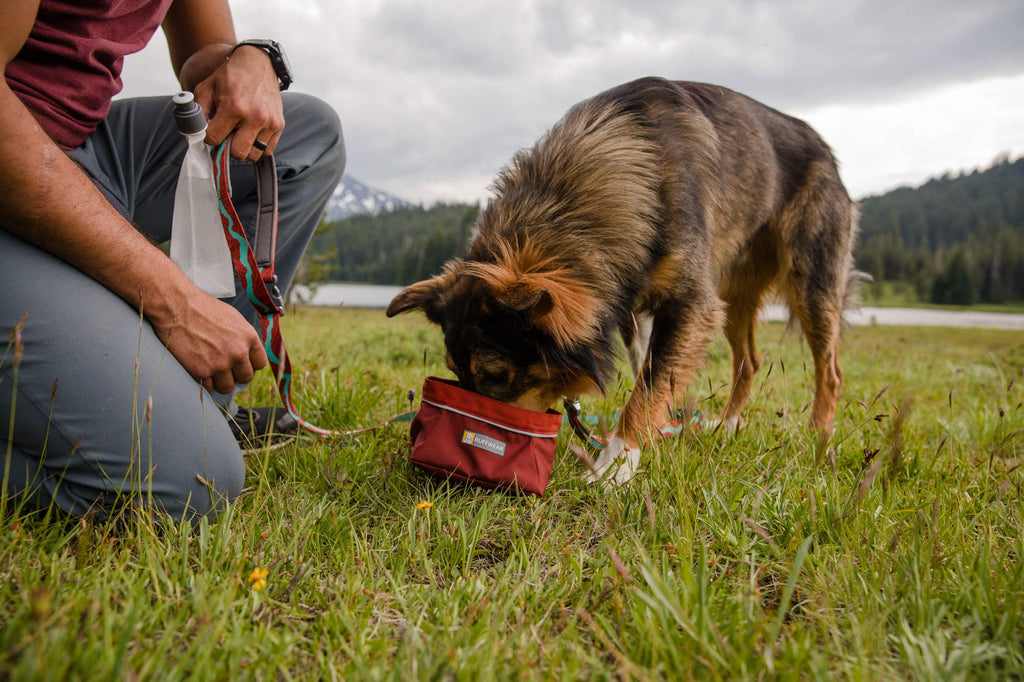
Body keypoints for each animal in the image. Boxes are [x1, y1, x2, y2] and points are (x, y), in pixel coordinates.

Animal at [387, 76, 860, 483]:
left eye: (495, 376)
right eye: (454, 372)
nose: (453, 466)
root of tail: (826, 149)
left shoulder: (691, 304)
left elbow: (648, 387)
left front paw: (615, 465)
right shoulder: (634, 306)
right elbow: (648, 374)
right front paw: (655, 437)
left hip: (810, 280)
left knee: (832, 370)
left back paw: (816, 438)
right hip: (735, 292)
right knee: (751, 360)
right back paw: (725, 428)